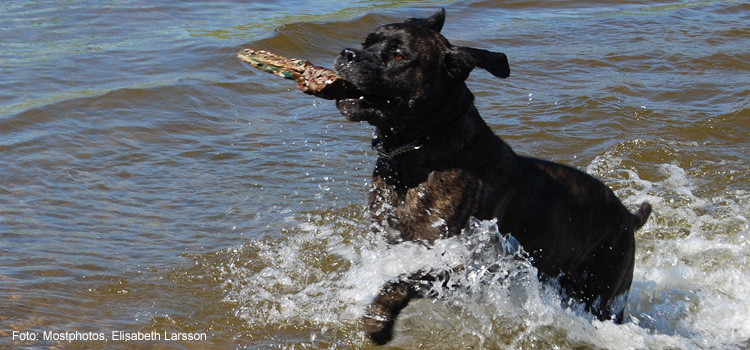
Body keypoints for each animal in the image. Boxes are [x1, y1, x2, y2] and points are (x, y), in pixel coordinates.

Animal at [334, 8, 652, 344]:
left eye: (398, 56)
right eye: (367, 42)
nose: (348, 54)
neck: (424, 150)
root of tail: (628, 217)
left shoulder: (460, 263)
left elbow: (403, 280)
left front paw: (378, 318)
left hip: (603, 295)